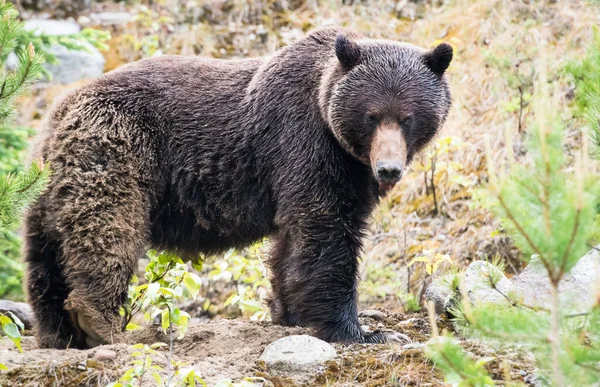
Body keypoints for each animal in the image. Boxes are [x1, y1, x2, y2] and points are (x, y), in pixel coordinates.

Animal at [24, 26, 450, 348]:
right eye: (372, 115)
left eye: (408, 117)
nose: (389, 169)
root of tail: (64, 108)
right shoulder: (305, 143)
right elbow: (326, 231)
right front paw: (360, 330)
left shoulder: (333, 170)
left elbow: (291, 242)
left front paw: (289, 312)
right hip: (118, 149)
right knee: (108, 225)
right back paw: (103, 323)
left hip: (48, 181)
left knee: (45, 252)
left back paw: (58, 332)